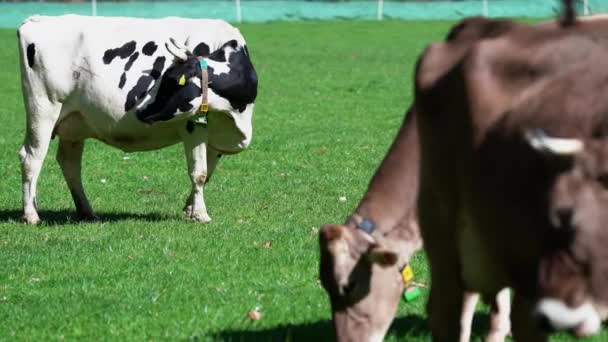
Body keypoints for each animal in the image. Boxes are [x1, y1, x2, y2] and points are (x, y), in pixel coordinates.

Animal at [16, 14, 258, 224]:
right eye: (164, 78)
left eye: (173, 82)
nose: (140, 111)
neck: (236, 116)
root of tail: (38, 19)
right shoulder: (193, 125)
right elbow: (199, 173)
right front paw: (201, 215)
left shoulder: (218, 136)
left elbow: (207, 173)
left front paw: (189, 209)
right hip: (43, 109)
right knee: (31, 158)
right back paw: (31, 215)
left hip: (74, 124)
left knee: (70, 163)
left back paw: (87, 212)